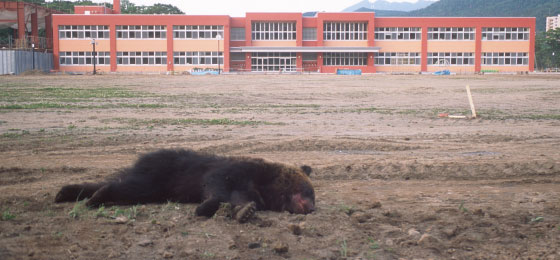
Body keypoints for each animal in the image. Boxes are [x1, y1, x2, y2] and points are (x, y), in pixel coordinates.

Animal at [55, 148, 318, 219]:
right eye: (309, 191)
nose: (311, 208)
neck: (266, 183)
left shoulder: (251, 191)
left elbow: (241, 201)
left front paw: (244, 211)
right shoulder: (229, 172)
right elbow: (215, 189)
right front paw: (204, 207)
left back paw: (67, 192)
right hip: (157, 177)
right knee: (124, 186)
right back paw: (95, 197)